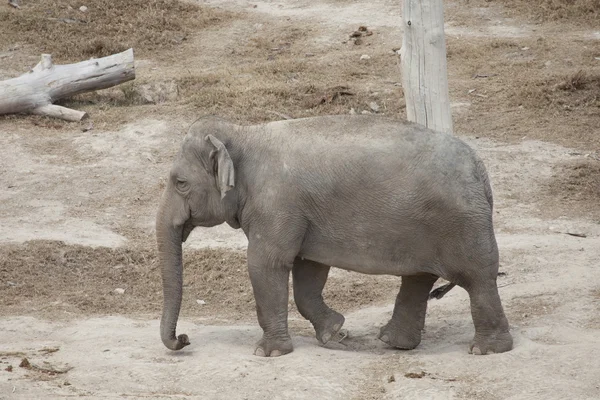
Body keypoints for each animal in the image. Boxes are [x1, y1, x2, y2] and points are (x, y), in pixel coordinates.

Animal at [157, 115, 512, 356]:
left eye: (180, 183)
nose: (184, 339)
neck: (244, 133)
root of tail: (481, 170)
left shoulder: (277, 204)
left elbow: (265, 264)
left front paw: (269, 353)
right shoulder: (303, 215)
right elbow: (308, 270)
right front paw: (336, 333)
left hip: (462, 225)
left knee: (478, 279)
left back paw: (486, 350)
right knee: (418, 278)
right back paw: (392, 342)